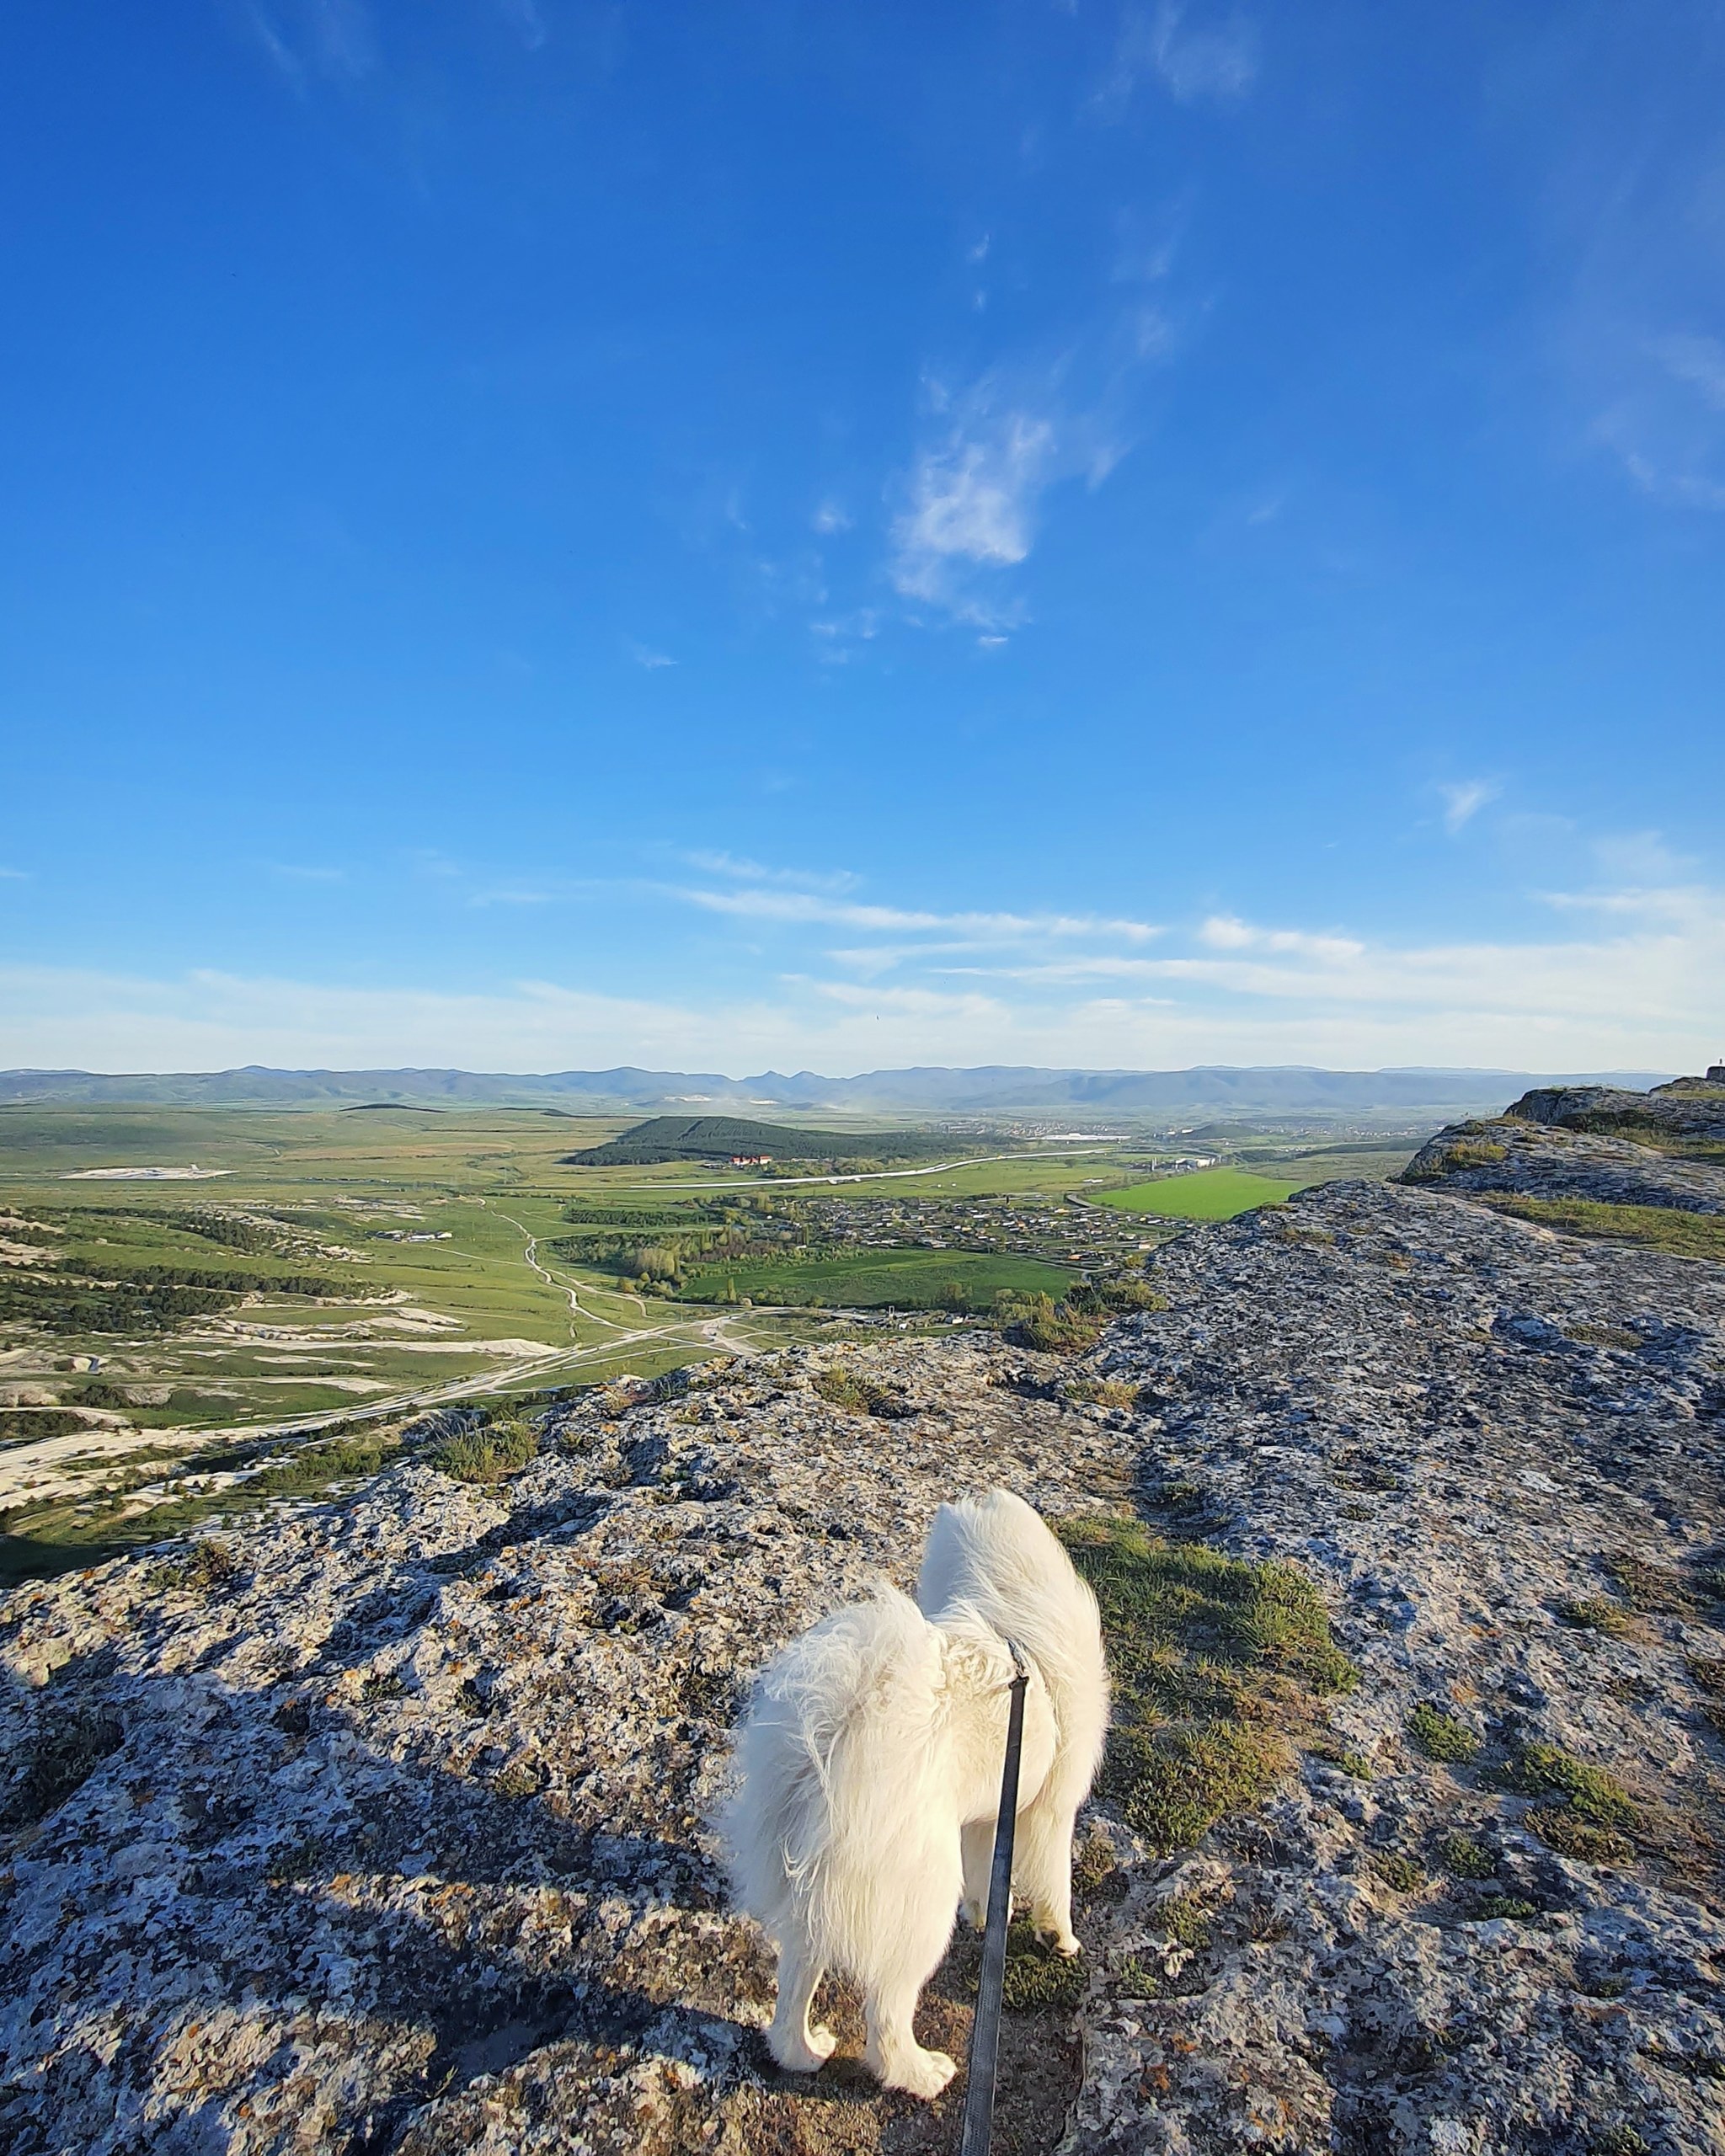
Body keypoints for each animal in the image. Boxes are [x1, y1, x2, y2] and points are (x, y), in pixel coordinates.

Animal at [724, 1492, 1103, 2095]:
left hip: (812, 1891)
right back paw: (922, 2074)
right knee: (885, 2021)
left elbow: (988, 1877)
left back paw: (805, 2052)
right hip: (920, 1912)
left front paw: (988, 1917)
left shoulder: (987, 1816)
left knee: (793, 1993)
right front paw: (1059, 1939)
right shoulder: (1051, 1808)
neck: (1008, 1605)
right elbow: (1055, 1885)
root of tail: (835, 1734)